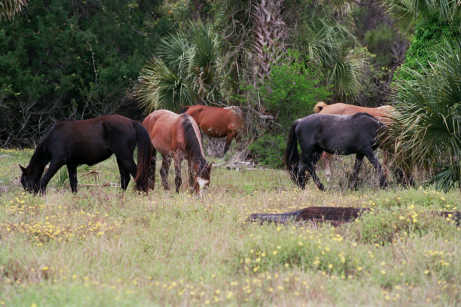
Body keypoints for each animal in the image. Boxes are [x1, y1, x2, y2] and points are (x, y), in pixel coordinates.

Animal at [19, 115, 153, 195]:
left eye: (24, 180)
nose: (28, 193)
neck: (53, 138)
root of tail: (131, 122)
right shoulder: (71, 164)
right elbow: (73, 182)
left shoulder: (57, 161)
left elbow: (45, 178)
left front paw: (41, 192)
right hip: (120, 157)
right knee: (125, 178)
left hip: (124, 156)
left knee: (137, 174)